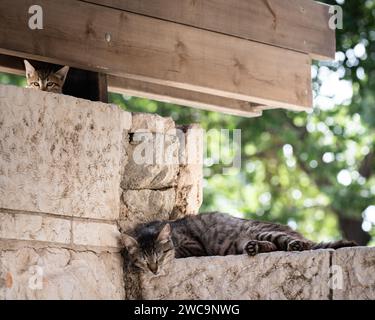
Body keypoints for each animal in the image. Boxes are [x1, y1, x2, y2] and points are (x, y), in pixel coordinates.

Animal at [121, 212, 358, 276]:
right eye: (144, 260)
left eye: (159, 256)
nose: (153, 270)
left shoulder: (193, 246)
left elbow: (180, 252)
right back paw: (253, 248)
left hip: (264, 231)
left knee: (300, 245)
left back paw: (296, 246)